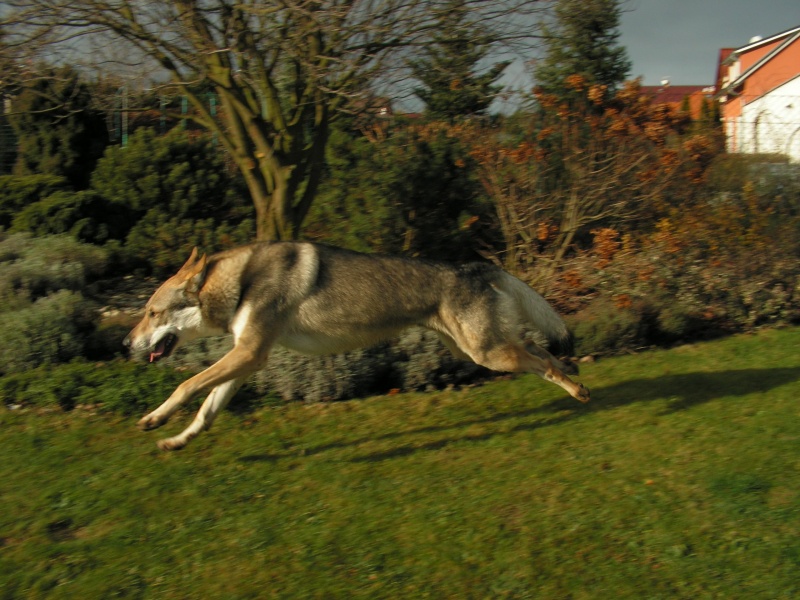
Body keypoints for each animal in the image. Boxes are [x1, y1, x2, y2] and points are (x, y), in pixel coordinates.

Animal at [125, 240, 588, 450]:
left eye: (151, 312)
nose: (127, 342)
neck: (240, 282)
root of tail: (472, 265)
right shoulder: (247, 360)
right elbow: (206, 411)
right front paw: (175, 439)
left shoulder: (249, 354)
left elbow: (186, 385)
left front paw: (153, 418)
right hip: (476, 350)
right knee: (541, 350)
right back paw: (576, 376)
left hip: (488, 354)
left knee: (543, 361)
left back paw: (578, 389)